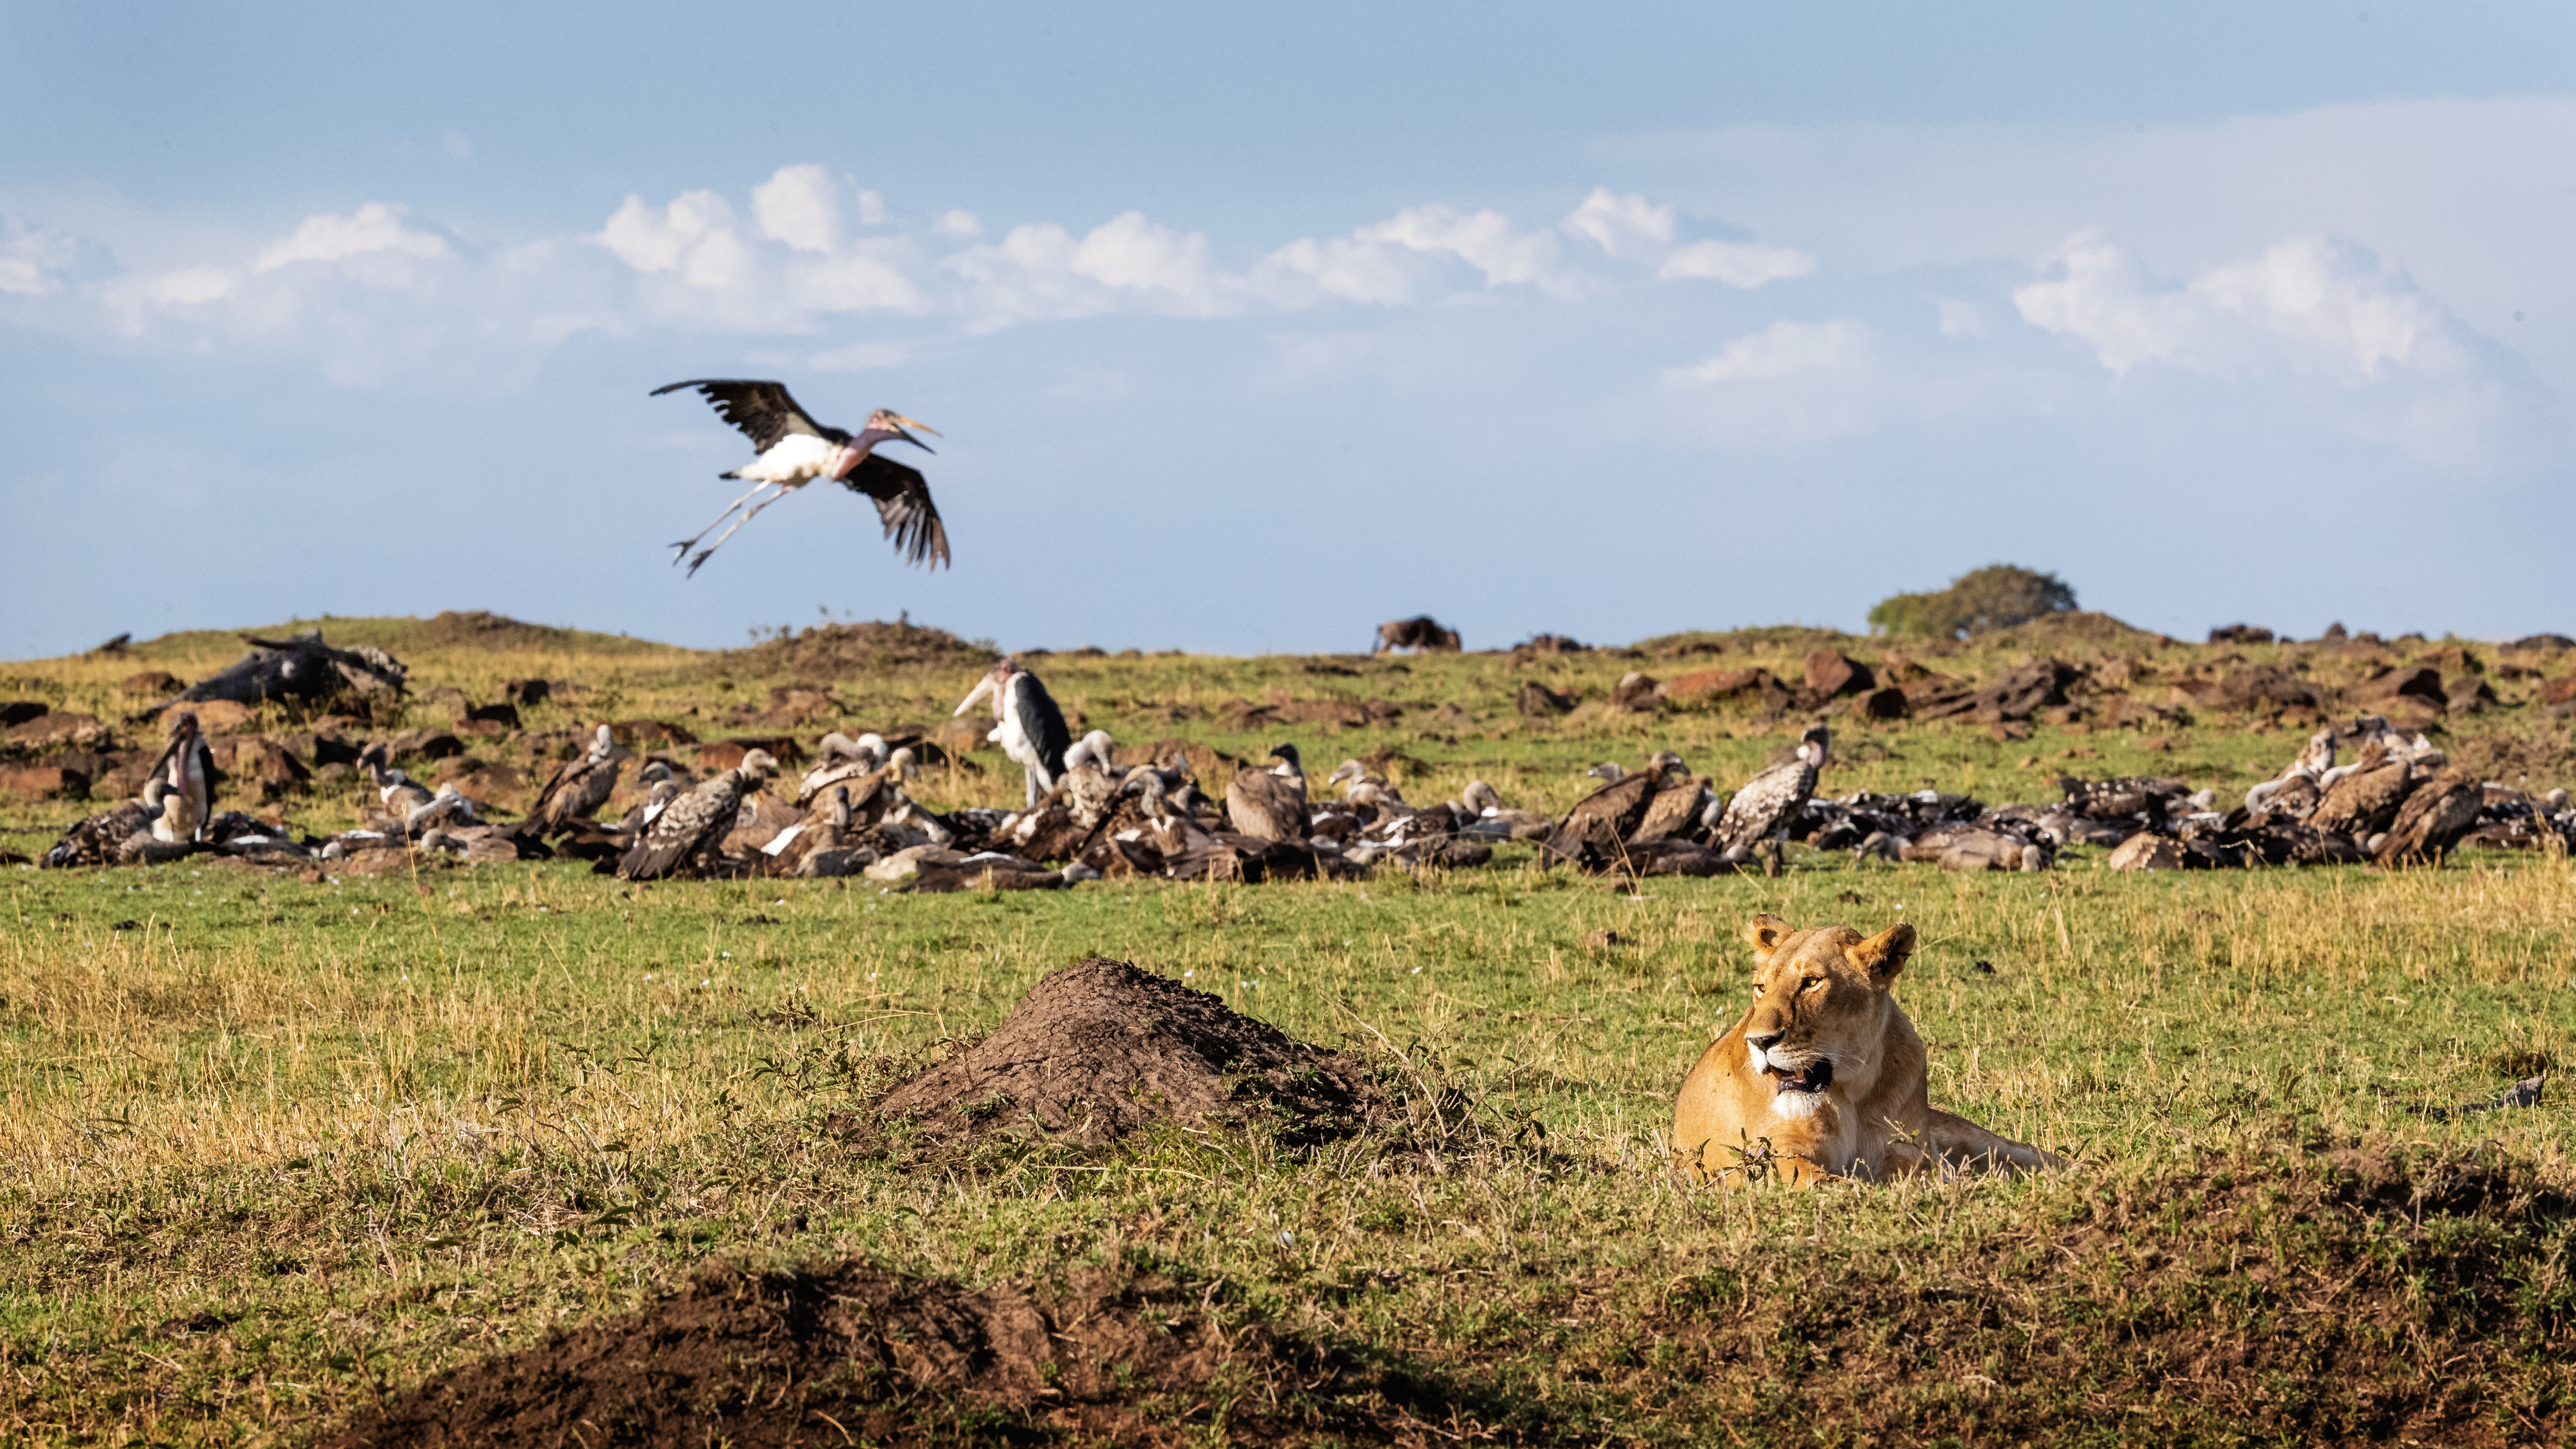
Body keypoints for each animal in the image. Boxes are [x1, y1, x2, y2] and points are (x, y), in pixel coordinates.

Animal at [1671, 914, 2059, 1187]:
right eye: (1761, 987)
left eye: (1812, 983)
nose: (1759, 1042)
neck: (1852, 1088)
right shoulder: (1776, 1149)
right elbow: (1825, 1182)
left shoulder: (1907, 1149)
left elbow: (1923, 1175)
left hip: (1990, 1143)